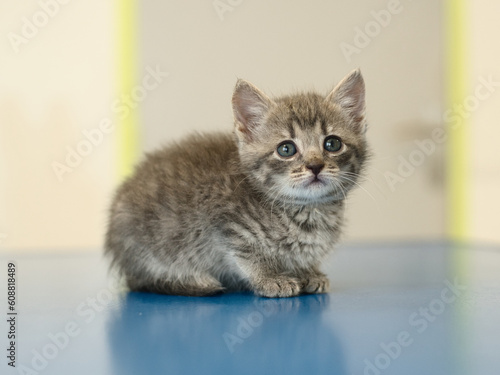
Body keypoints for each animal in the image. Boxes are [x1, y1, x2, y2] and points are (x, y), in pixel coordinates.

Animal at [104, 69, 368, 298]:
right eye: (286, 149)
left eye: (332, 144)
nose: (315, 166)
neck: (309, 210)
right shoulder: (226, 226)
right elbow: (248, 255)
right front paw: (270, 278)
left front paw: (309, 272)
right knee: (144, 280)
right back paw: (193, 281)